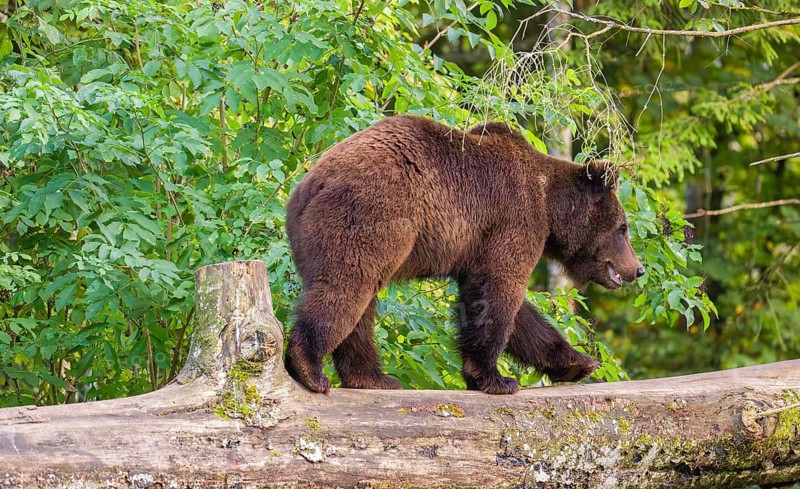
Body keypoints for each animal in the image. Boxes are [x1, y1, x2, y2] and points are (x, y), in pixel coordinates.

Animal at [284, 114, 644, 395]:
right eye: (624, 228)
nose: (638, 269)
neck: (549, 203)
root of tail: (310, 185)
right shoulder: (514, 219)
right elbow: (499, 290)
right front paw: (496, 378)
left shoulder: (477, 247)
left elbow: (509, 307)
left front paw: (577, 363)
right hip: (372, 215)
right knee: (347, 286)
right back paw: (310, 368)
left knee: (362, 304)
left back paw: (373, 378)